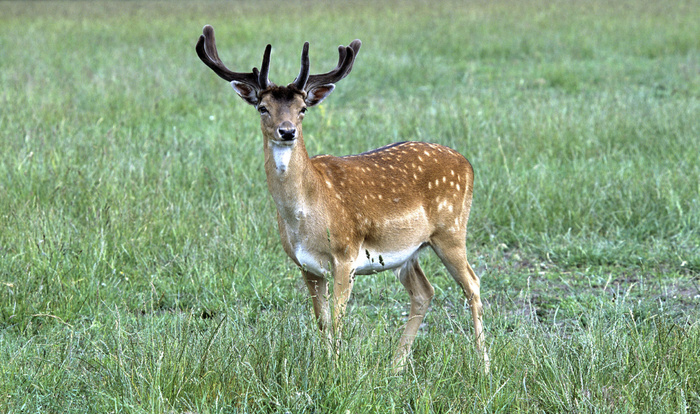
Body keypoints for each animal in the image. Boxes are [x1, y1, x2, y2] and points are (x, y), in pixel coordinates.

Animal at [197, 25, 490, 372]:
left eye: (302, 109)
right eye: (262, 107)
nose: (287, 131)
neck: (305, 213)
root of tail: (467, 163)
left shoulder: (346, 254)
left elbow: (337, 321)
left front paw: (337, 371)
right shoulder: (305, 265)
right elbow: (321, 321)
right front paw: (325, 366)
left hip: (452, 230)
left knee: (473, 284)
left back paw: (484, 366)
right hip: (409, 250)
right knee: (424, 291)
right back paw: (396, 366)